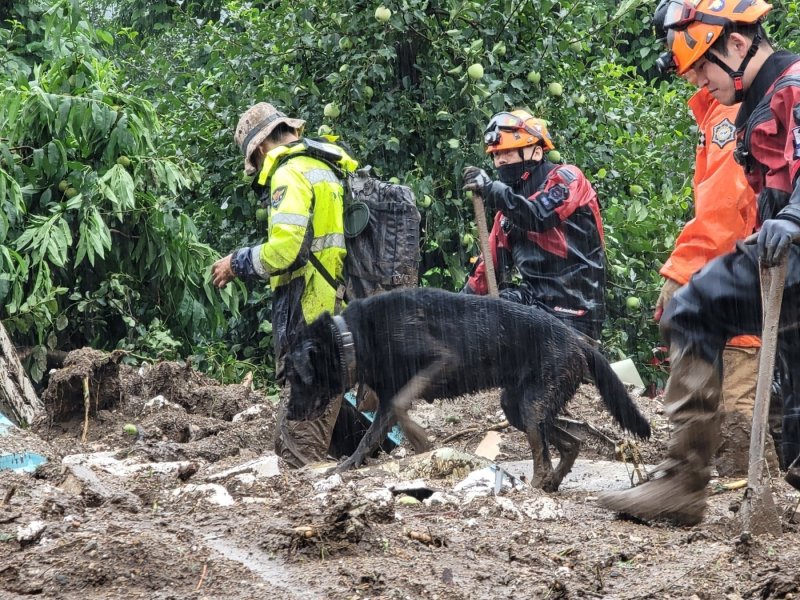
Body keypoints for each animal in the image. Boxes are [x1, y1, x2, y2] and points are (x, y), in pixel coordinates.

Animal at [286, 288, 648, 490]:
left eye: (294, 377)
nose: (288, 415)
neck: (352, 336)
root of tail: (579, 340)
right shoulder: (387, 400)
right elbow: (370, 436)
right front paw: (346, 466)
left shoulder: (443, 360)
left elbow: (402, 407)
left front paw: (422, 442)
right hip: (516, 406)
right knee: (571, 443)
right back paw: (551, 482)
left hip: (531, 406)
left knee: (544, 454)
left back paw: (535, 485)